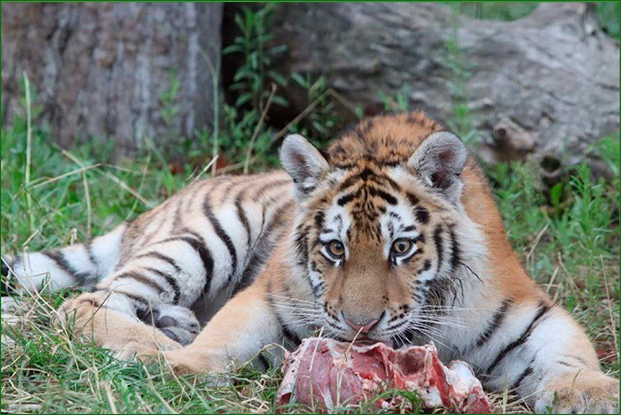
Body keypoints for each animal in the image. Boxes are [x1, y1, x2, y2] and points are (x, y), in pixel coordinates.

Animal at [2, 112, 616, 414]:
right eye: (335, 248)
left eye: (401, 248)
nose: (361, 326)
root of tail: (151, 211)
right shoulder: (271, 295)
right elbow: (222, 342)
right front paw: (180, 366)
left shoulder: (532, 313)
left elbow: (572, 353)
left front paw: (593, 393)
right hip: (208, 235)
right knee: (87, 302)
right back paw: (155, 344)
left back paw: (174, 326)